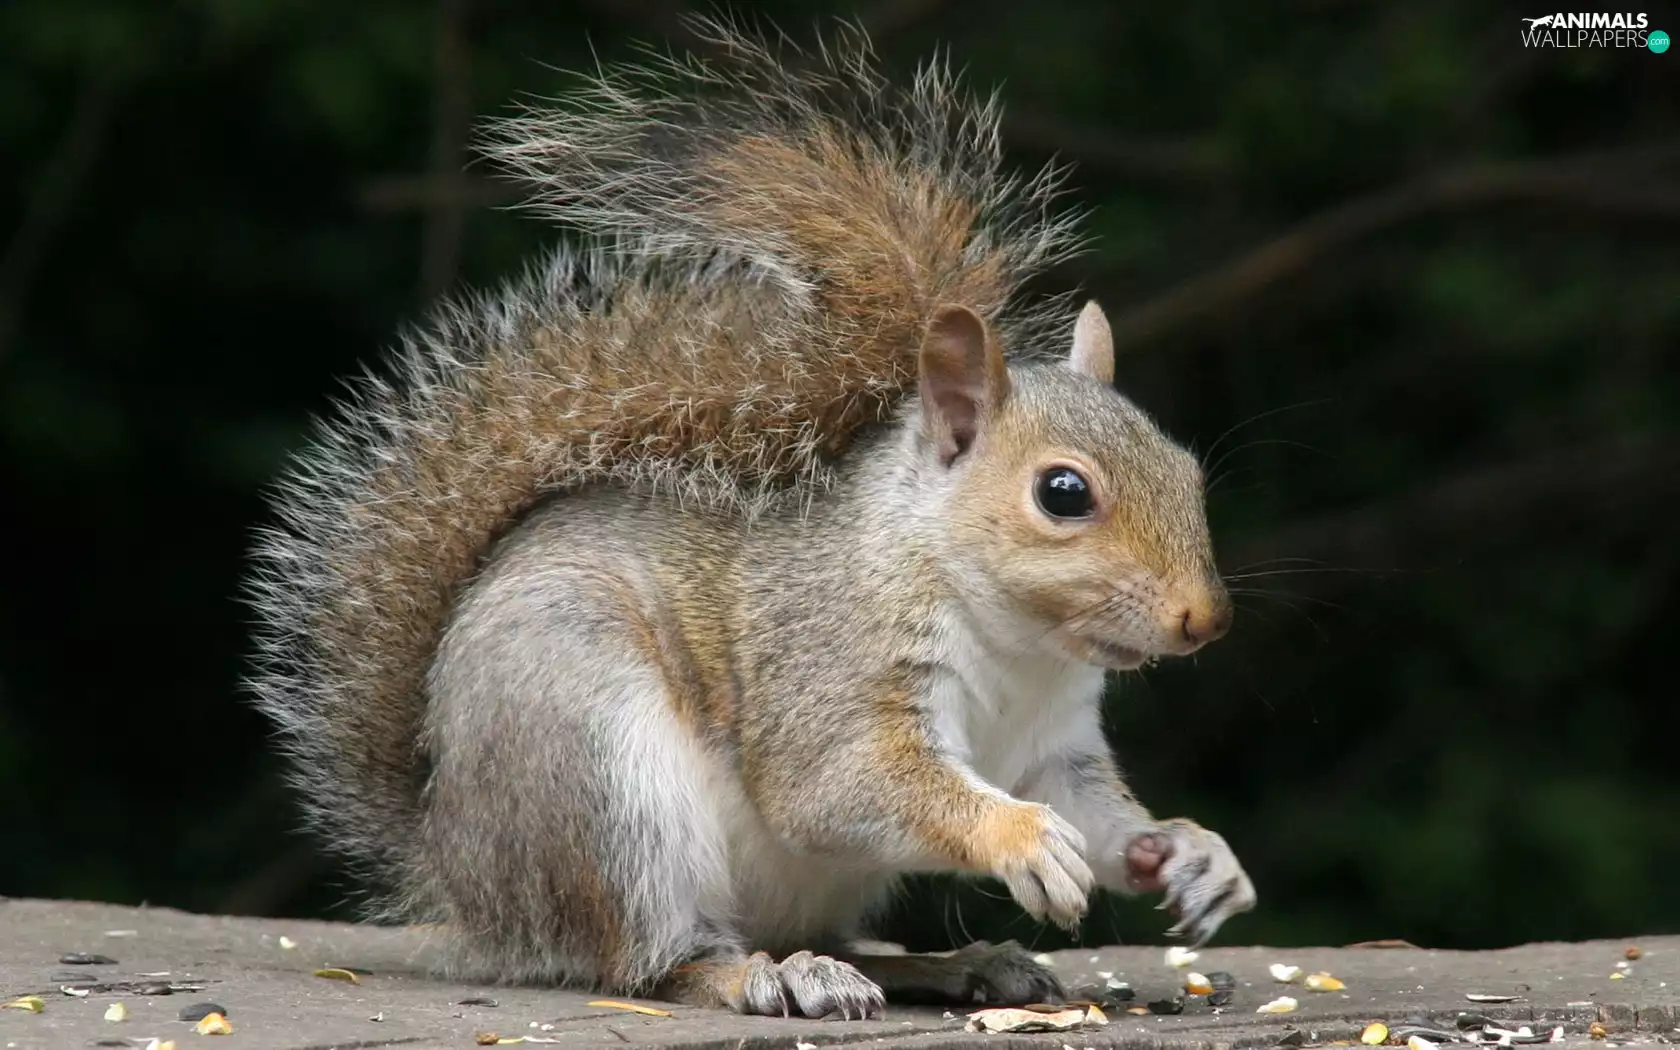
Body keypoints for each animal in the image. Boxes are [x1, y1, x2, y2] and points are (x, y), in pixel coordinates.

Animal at [245, 18, 1255, 1019]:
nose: (1207, 619)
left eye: (1186, 469)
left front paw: (1188, 851)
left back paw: (943, 965)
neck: (1020, 651)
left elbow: (1098, 815)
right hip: (601, 775)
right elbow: (838, 785)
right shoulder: (826, 665)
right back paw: (768, 975)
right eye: (1063, 493)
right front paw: (1020, 839)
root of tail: (466, 873)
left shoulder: (1052, 750)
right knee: (654, 960)